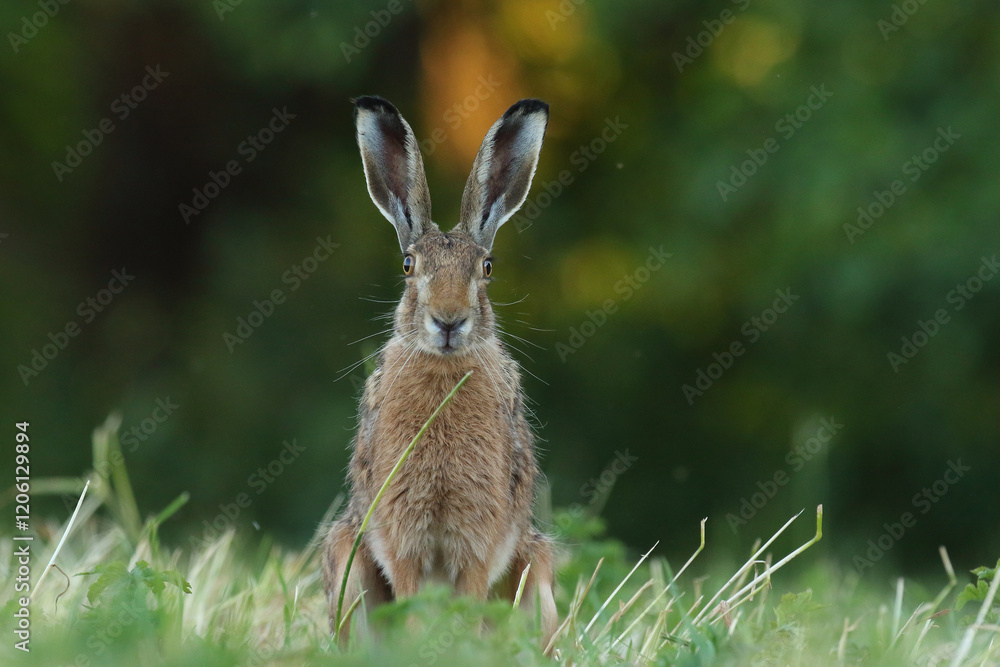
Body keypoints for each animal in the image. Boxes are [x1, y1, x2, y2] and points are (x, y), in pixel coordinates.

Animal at [322, 96, 558, 650]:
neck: (445, 368)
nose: (449, 321)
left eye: (487, 268)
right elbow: (410, 603)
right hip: (345, 552)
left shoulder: (480, 535)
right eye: (408, 266)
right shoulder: (400, 531)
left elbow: (468, 603)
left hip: (537, 565)